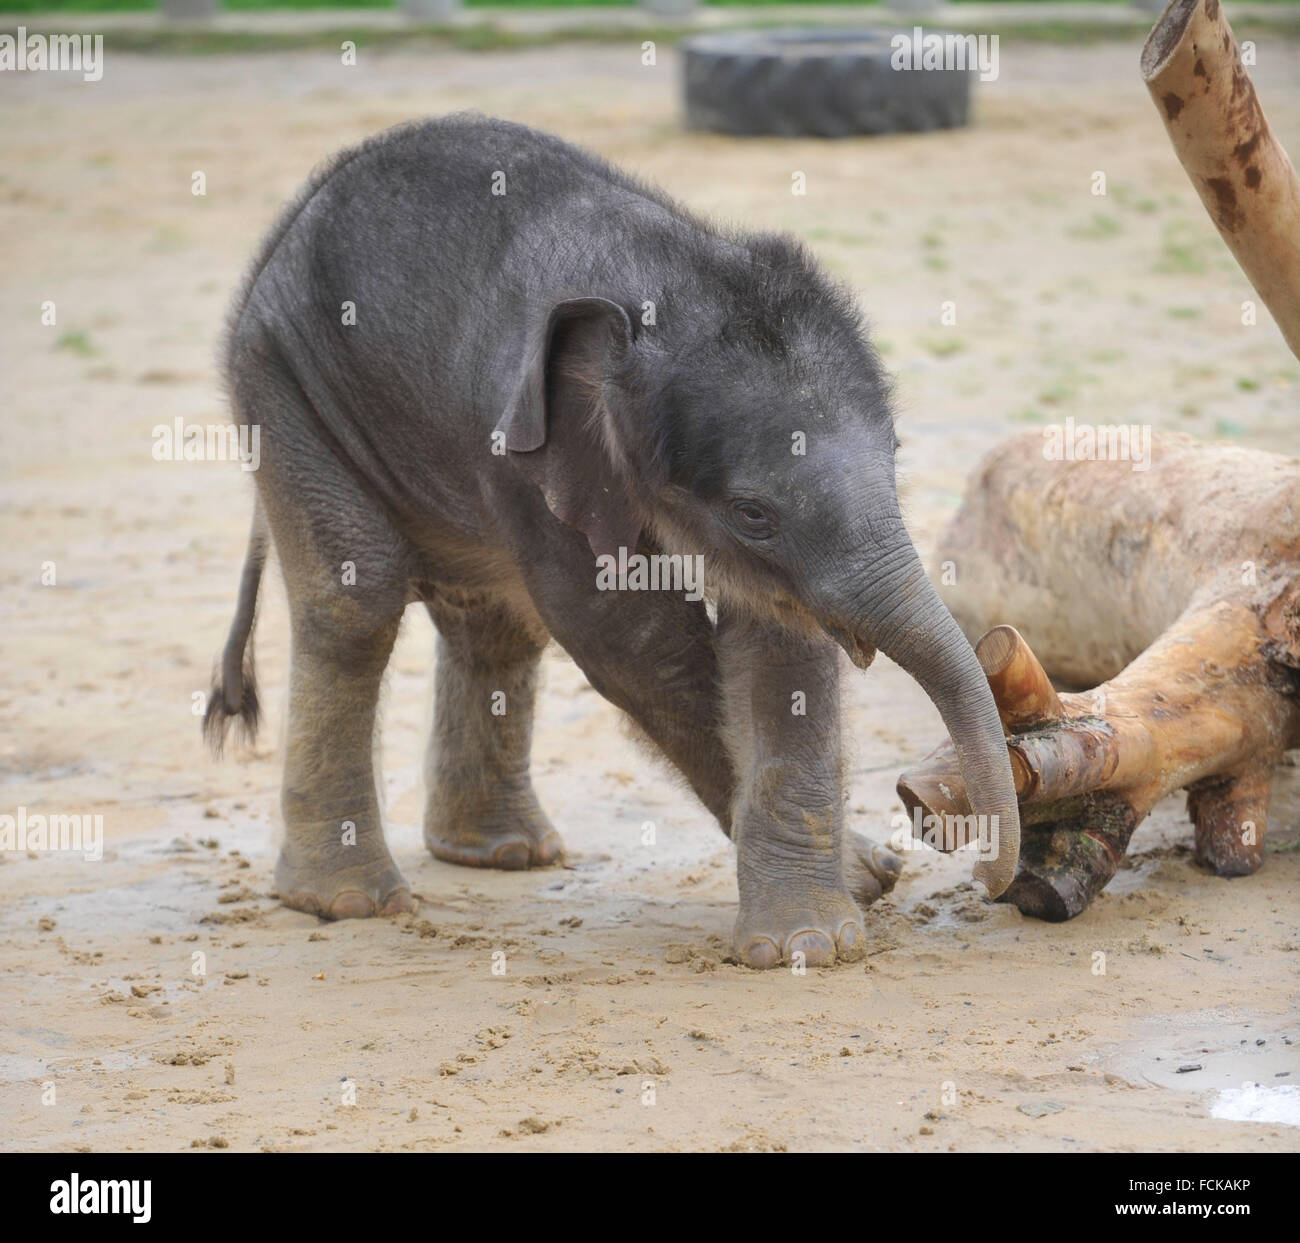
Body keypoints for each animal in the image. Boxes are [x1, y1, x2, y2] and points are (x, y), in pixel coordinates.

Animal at [204, 113, 1019, 969]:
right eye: (752, 512)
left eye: (896, 449)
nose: (981, 871)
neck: (666, 279)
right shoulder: (521, 455)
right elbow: (633, 640)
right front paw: (844, 898)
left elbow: (777, 643)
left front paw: (820, 934)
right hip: (281, 382)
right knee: (356, 597)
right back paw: (347, 900)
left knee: (493, 625)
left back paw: (504, 853)